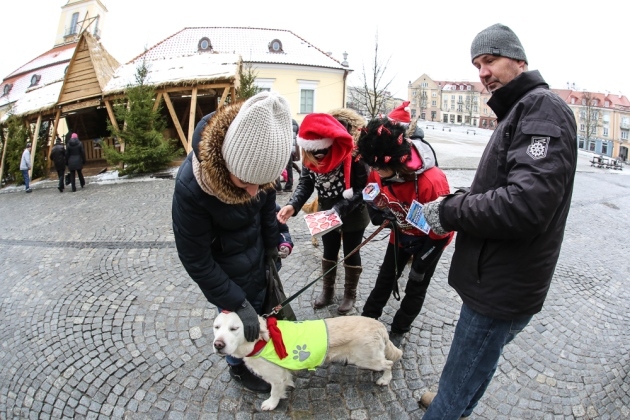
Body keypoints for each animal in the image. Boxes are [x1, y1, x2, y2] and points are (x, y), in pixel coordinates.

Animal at [214, 312, 404, 410]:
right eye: (216, 327)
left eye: (234, 328)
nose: (218, 345)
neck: (261, 341)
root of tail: (379, 325)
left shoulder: (276, 377)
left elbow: (275, 392)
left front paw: (271, 404)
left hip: (365, 359)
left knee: (389, 363)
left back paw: (384, 379)